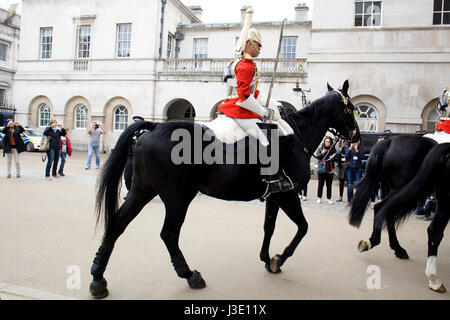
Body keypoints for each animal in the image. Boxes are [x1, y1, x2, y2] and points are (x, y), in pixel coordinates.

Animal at [89, 80, 360, 298]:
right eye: (351, 109)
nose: (357, 137)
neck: (296, 137)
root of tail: (155, 127)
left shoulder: (275, 196)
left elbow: (269, 227)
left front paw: (266, 258)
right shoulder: (288, 194)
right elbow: (303, 228)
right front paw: (279, 258)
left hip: (142, 190)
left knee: (117, 224)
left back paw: (98, 278)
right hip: (178, 198)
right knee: (168, 234)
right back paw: (190, 275)